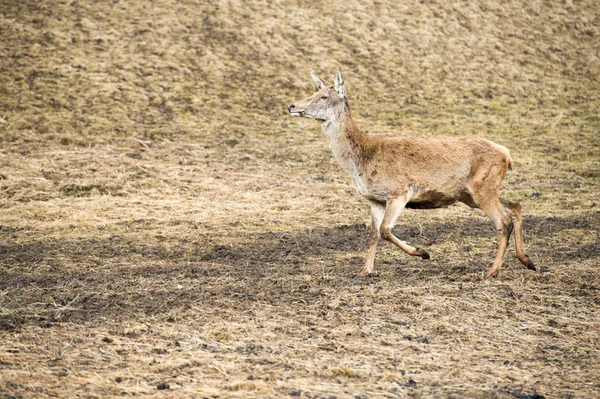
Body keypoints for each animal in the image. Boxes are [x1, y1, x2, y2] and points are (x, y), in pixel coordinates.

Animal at [288, 69, 536, 278]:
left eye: (323, 96)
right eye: (314, 91)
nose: (291, 105)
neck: (361, 161)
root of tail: (507, 155)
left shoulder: (399, 192)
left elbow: (386, 230)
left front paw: (422, 252)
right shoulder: (375, 199)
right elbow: (374, 233)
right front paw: (365, 270)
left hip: (482, 187)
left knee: (503, 222)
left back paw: (492, 271)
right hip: (472, 194)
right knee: (515, 205)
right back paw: (527, 260)